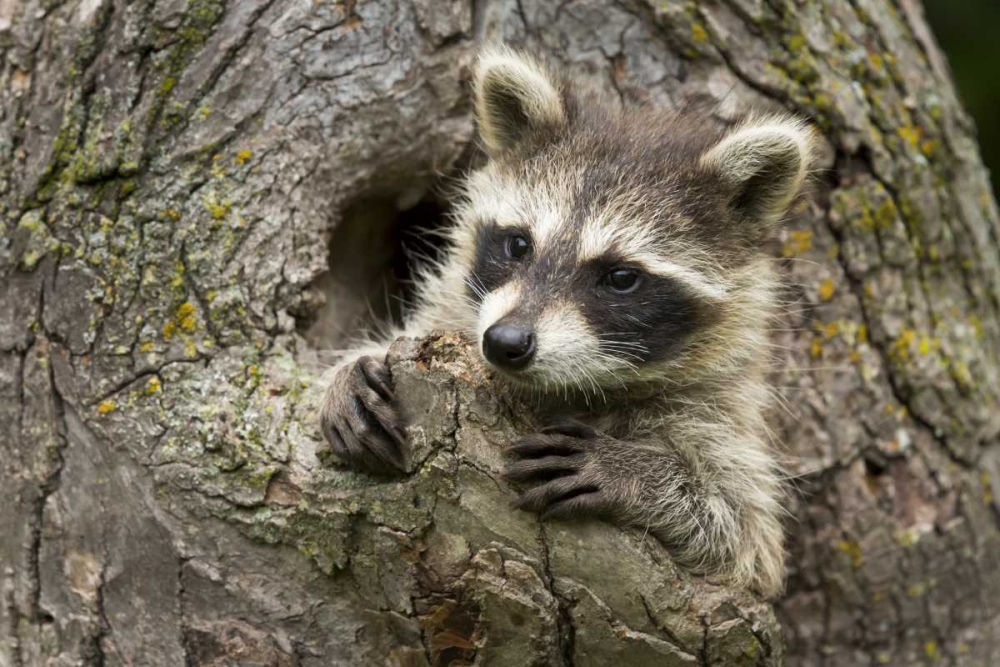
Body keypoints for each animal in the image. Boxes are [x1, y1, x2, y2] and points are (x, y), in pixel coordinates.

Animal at [320, 48, 812, 600]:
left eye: (620, 277)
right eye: (518, 244)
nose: (505, 342)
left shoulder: (716, 407)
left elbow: (746, 535)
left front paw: (637, 473)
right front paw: (347, 371)